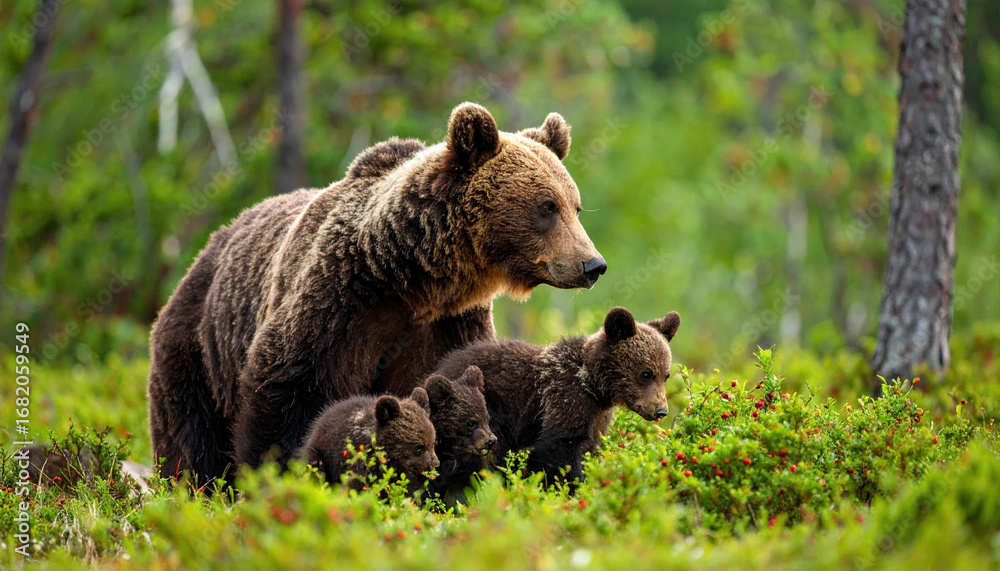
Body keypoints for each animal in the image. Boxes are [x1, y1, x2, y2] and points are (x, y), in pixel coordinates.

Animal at [432, 307, 680, 484]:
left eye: (666, 375)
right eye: (646, 373)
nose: (660, 410)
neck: (593, 384)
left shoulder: (597, 416)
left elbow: (589, 447)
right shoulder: (565, 396)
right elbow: (557, 449)